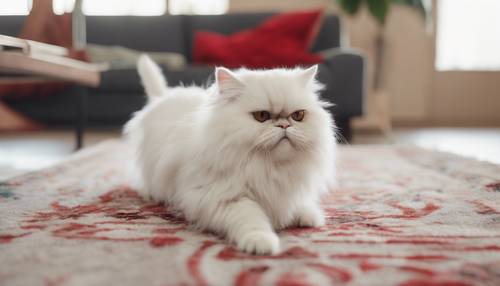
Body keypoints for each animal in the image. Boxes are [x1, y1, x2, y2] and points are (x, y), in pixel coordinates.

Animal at [124, 55, 336, 255]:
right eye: (262, 116)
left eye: (298, 116)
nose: (284, 125)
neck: (268, 167)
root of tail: (162, 95)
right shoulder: (225, 198)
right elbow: (251, 219)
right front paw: (261, 243)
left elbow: (299, 203)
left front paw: (308, 216)